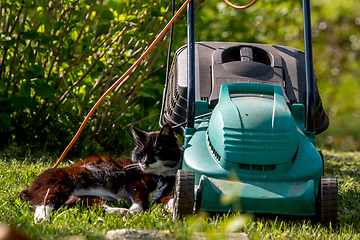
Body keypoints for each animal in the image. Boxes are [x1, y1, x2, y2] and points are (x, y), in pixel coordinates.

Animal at [20, 124, 181, 223]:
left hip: (87, 197)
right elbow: (140, 198)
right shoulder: (134, 181)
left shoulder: (164, 191)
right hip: (59, 184)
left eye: (157, 150)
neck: (161, 176)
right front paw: (134, 211)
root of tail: (28, 188)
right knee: (43, 203)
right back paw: (42, 220)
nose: (146, 162)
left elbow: (167, 198)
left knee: (90, 204)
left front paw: (173, 206)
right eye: (141, 154)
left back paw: (120, 211)